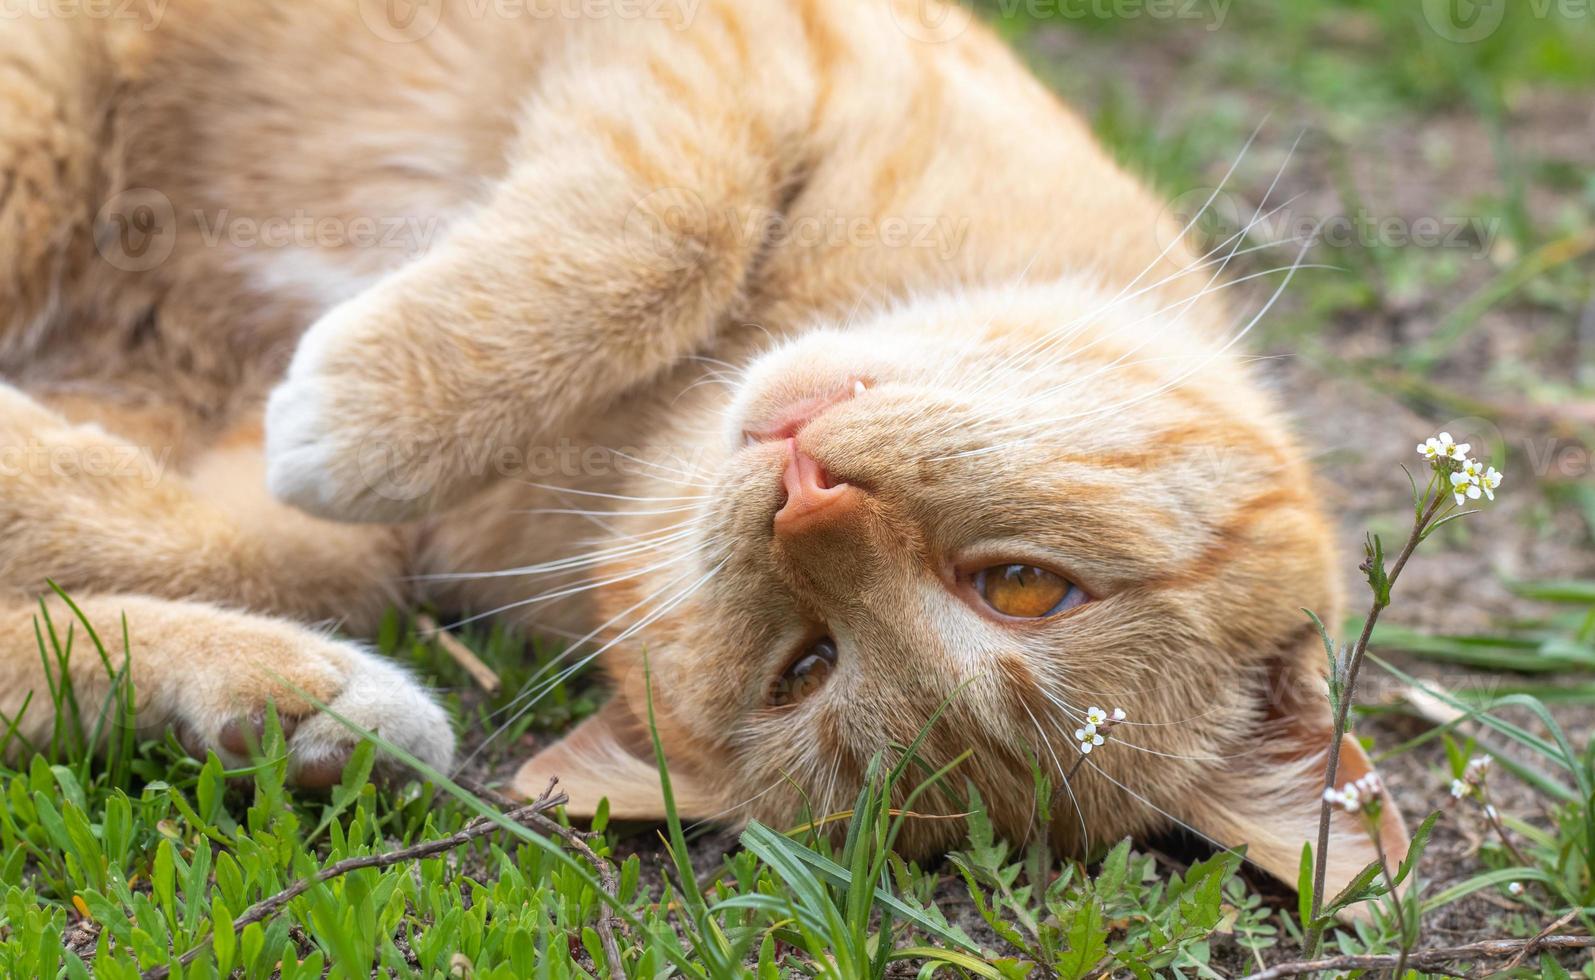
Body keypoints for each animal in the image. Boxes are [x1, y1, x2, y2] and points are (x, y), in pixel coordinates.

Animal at [0, 0, 1397, 893]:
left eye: (804, 666)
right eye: (1024, 585)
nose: (805, 492)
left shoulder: (298, 511)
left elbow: (210, 537)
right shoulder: (736, 51)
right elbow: (668, 224)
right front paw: (360, 413)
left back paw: (297, 711)